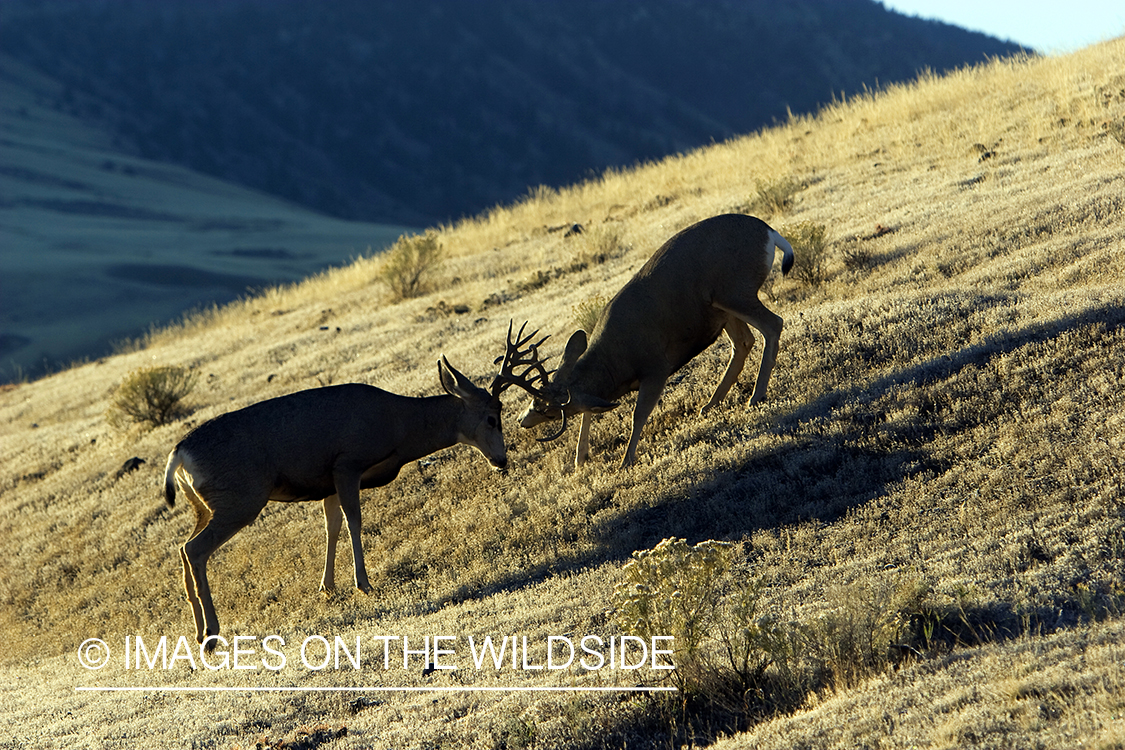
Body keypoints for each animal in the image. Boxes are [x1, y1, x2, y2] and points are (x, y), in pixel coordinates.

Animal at [162, 324, 549, 649]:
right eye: (492, 418)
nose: (501, 459)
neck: (399, 427)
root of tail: (179, 454)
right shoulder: (347, 463)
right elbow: (354, 522)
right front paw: (363, 584)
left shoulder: (329, 480)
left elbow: (331, 527)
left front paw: (327, 587)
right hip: (240, 497)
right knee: (195, 549)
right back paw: (212, 633)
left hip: (204, 504)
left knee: (182, 548)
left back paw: (197, 631)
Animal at [519, 213, 795, 468]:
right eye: (536, 399)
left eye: (548, 411)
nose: (523, 420)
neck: (615, 363)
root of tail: (769, 232)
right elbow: (590, 408)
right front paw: (581, 458)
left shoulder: (656, 367)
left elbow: (638, 414)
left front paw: (625, 461)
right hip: (722, 308)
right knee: (743, 342)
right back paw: (710, 404)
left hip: (735, 291)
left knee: (773, 325)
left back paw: (756, 396)